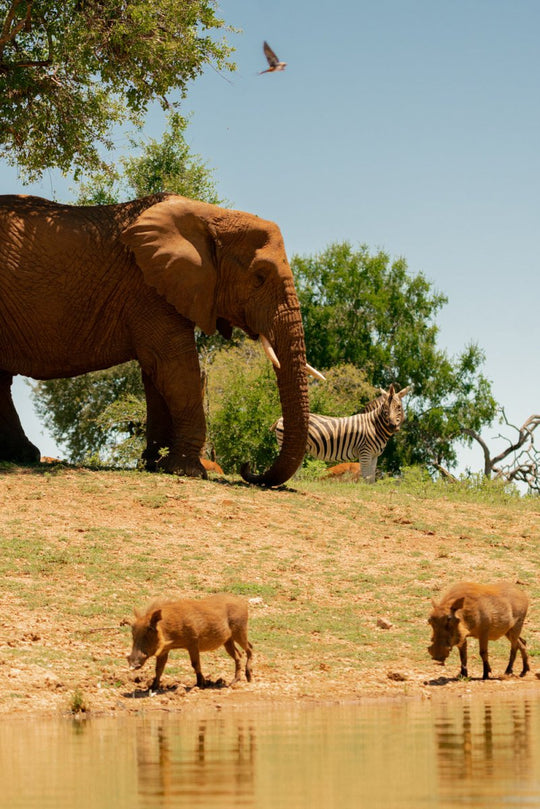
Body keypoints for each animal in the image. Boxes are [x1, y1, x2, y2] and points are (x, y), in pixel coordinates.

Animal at [1, 194, 320, 486]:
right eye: (259, 277)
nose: (248, 468)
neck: (211, 216)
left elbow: (156, 373)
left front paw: (153, 464)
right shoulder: (148, 287)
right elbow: (175, 367)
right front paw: (186, 471)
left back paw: (22, 455)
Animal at [272, 384, 412, 482]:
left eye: (399, 407)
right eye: (385, 408)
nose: (393, 426)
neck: (373, 426)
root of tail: (280, 418)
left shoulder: (374, 455)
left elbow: (371, 478)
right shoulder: (365, 452)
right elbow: (366, 477)